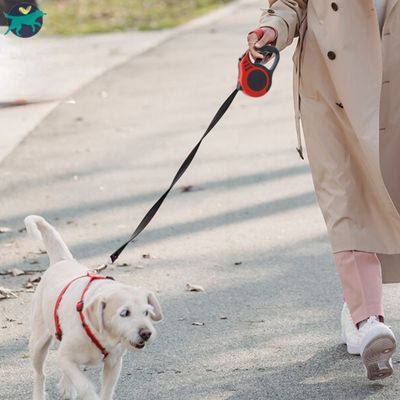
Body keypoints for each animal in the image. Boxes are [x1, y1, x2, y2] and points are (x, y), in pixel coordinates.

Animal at [25, 216, 162, 400]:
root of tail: (62, 260)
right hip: (38, 344)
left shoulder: (114, 363)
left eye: (146, 312)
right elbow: (83, 385)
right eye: (124, 313)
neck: (101, 334)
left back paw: (67, 387)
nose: (146, 333)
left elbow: (107, 390)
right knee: (40, 374)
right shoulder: (65, 356)